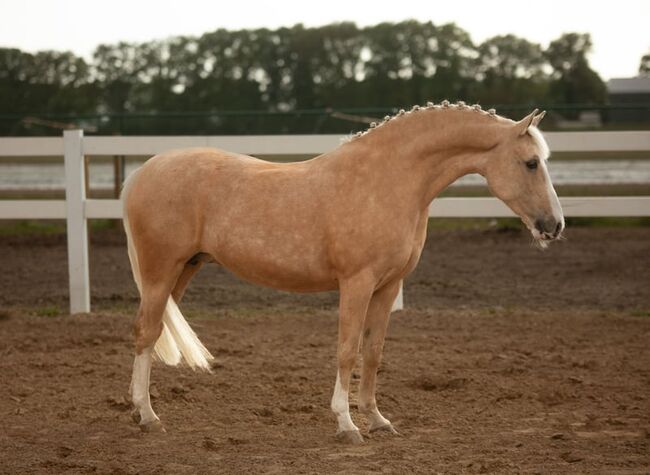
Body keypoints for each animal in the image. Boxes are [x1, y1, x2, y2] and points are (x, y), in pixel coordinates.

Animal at [123, 102, 560, 444]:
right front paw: (347, 424)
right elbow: (347, 350)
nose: (554, 226)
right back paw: (149, 417)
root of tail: (142, 173)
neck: (388, 179)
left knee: (151, 333)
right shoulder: (357, 283)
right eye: (531, 162)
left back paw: (137, 411)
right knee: (146, 332)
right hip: (161, 271)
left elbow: (373, 351)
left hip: (183, 271)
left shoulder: (388, 286)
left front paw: (378, 420)